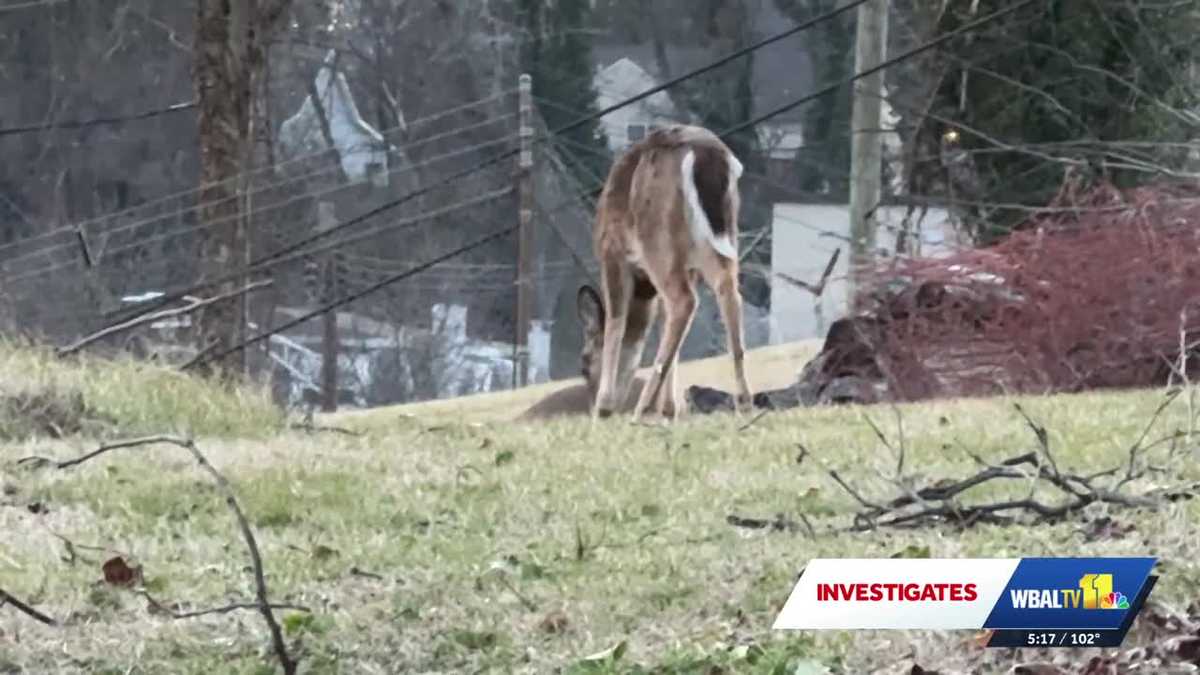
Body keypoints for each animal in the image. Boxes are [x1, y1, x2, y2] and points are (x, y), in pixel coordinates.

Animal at [576, 124, 753, 423]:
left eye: (585, 365)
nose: (589, 407)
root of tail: (706, 154)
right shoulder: (686, 268)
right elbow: (663, 326)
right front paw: (669, 410)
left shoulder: (613, 253)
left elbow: (615, 322)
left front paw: (605, 406)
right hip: (721, 234)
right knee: (727, 290)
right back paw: (744, 402)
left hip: (656, 238)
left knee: (684, 300)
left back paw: (642, 409)